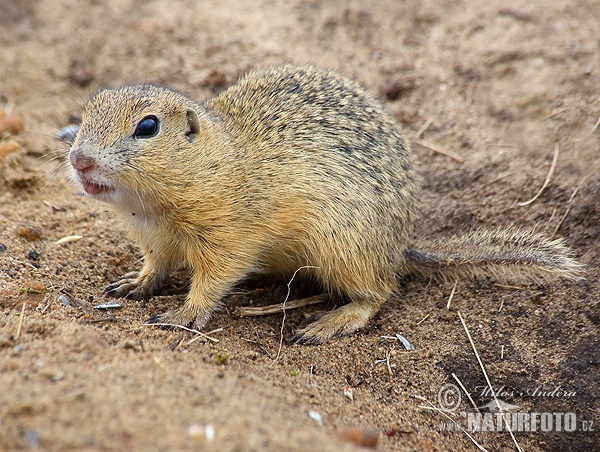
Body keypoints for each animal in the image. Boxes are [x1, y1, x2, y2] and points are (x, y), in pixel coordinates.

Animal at [69, 64, 580, 342]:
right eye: (86, 111)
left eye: (148, 127)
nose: (78, 159)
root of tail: (399, 246)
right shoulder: (154, 239)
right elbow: (155, 266)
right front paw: (134, 283)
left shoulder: (229, 239)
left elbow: (212, 281)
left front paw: (184, 314)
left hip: (341, 247)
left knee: (380, 293)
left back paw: (331, 321)